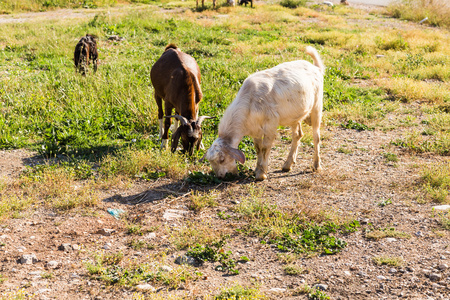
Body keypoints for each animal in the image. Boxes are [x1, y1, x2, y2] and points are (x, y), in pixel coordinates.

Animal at [203, 47, 324, 180]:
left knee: (316, 136)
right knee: (297, 134)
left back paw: (316, 165)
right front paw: (257, 169)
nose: (220, 176)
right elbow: (258, 148)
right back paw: (287, 165)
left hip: (317, 106)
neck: (249, 102)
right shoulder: (255, 129)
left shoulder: (270, 124)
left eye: (222, 159)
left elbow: (265, 147)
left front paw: (261, 174)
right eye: (211, 162)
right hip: (294, 115)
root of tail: (315, 67)